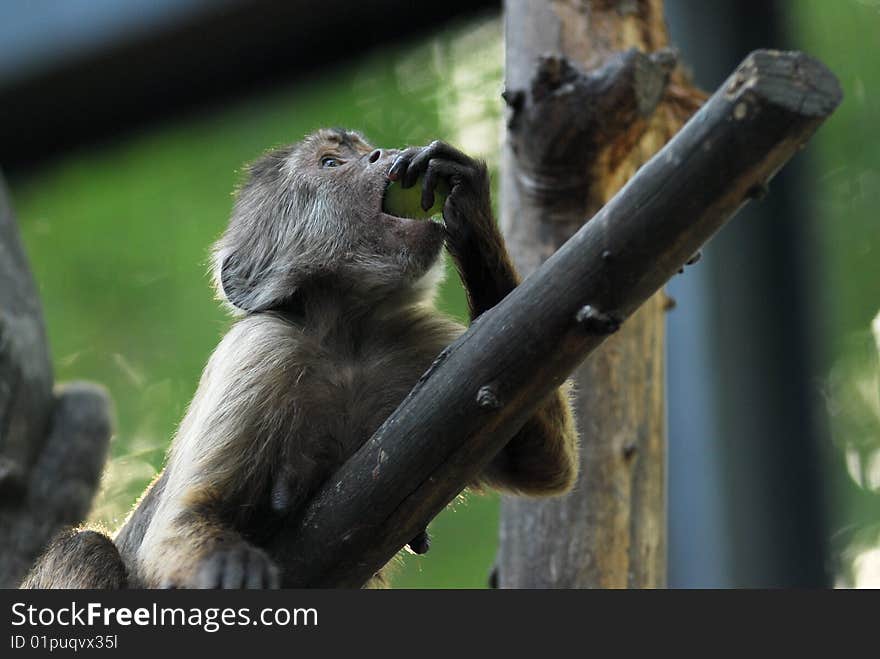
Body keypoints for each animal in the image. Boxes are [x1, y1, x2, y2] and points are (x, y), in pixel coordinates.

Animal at [20, 127, 576, 588]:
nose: (380, 154)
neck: (347, 338)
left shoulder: (418, 340)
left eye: (362, 148)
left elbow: (543, 462)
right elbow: (176, 527)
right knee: (84, 548)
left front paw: (466, 204)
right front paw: (231, 566)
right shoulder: (263, 347)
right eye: (332, 163)